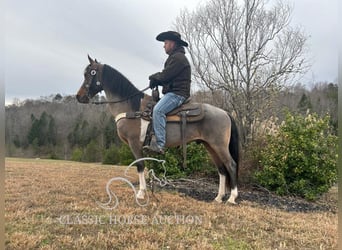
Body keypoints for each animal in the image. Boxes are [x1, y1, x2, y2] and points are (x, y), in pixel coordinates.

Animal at [76, 55, 239, 204]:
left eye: (90, 73)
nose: (79, 97)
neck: (131, 108)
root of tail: (225, 113)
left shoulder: (135, 143)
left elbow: (140, 166)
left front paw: (141, 193)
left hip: (219, 145)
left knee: (231, 165)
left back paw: (231, 198)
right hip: (210, 146)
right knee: (221, 169)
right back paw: (218, 198)